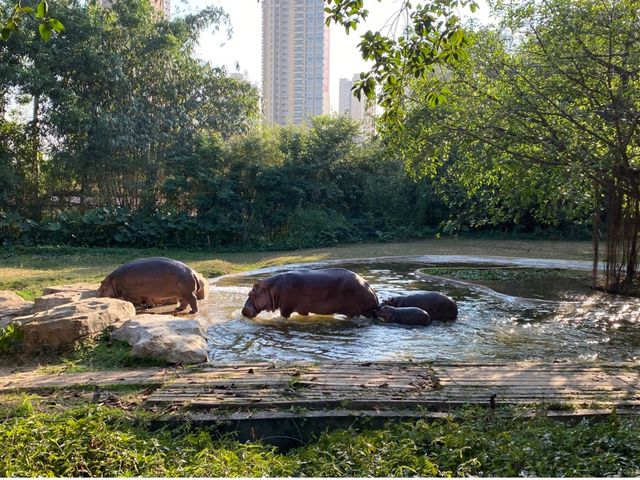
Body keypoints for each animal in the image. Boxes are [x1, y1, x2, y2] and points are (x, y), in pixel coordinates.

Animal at [242, 266, 378, 318]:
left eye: (250, 294)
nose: (243, 311)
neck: (272, 288)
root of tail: (370, 287)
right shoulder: (302, 309)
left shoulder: (285, 308)